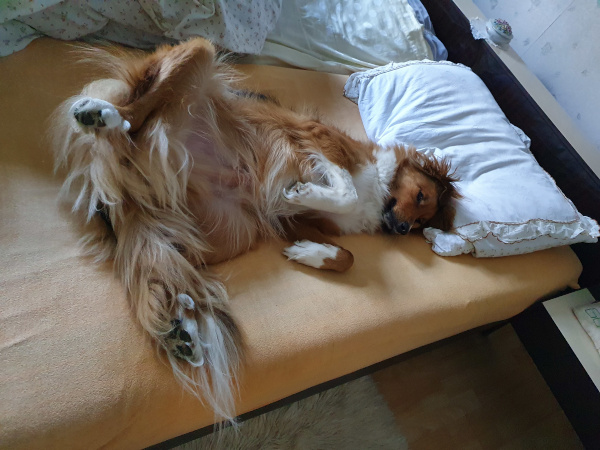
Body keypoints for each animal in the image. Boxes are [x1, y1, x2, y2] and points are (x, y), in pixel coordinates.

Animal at [52, 38, 459, 422]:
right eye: (420, 196)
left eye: (421, 222)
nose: (401, 228)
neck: (379, 192)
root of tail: (129, 196)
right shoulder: (316, 139)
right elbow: (344, 191)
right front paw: (309, 190)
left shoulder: (298, 221)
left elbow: (347, 256)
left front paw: (308, 253)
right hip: (199, 55)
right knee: (132, 120)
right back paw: (100, 115)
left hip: (223, 233)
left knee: (166, 265)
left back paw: (183, 328)